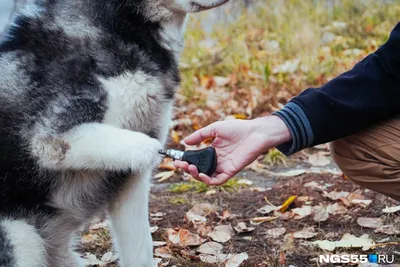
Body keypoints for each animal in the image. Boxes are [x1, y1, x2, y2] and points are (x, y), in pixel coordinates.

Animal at [0, 0, 228, 266]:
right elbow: (148, 146)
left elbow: (141, 250)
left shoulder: (130, 178)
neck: (116, 26)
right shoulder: (50, 139)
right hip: (21, 239)